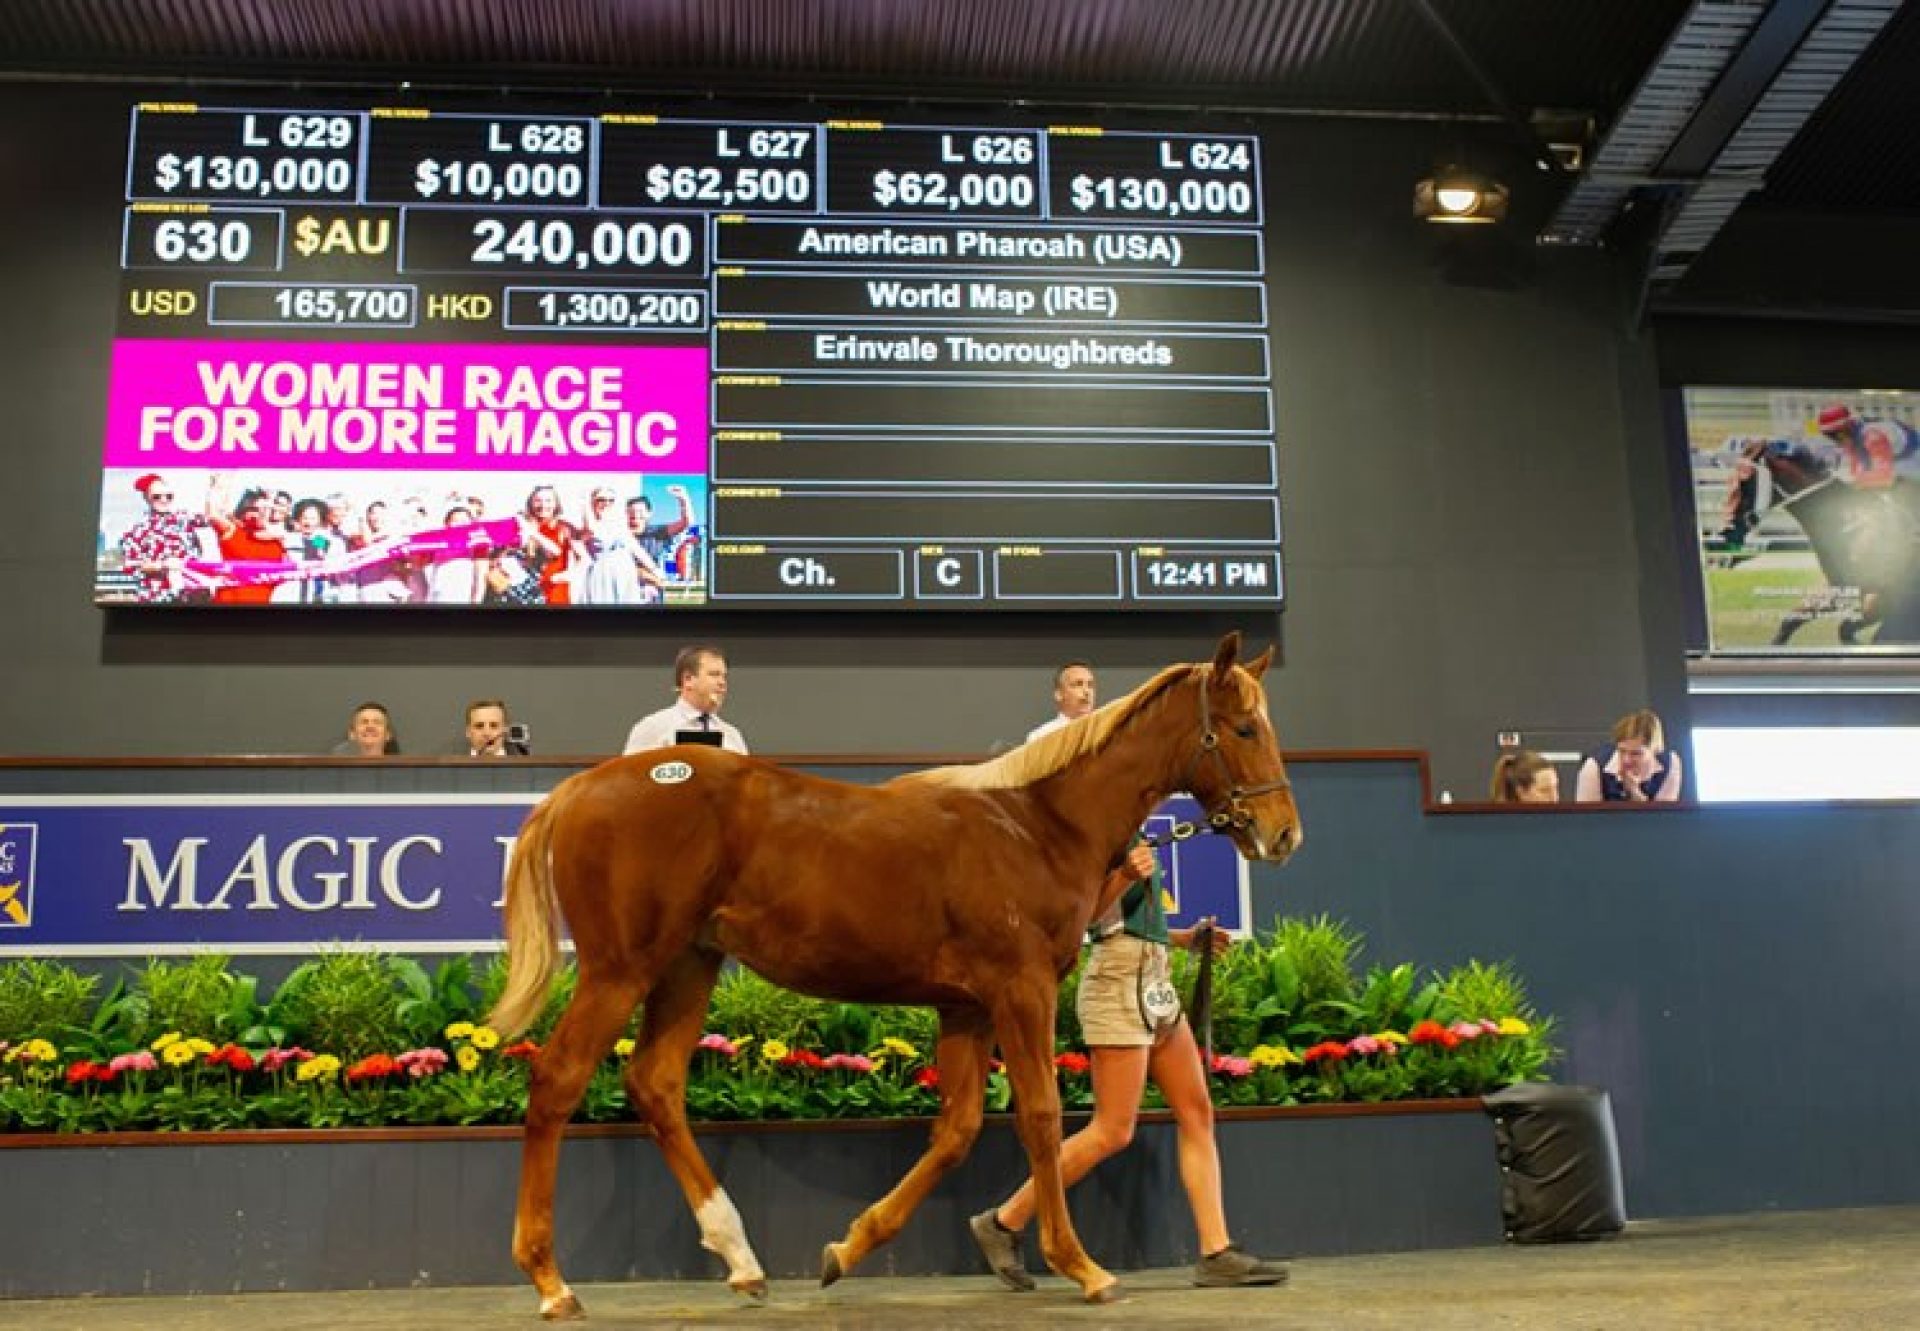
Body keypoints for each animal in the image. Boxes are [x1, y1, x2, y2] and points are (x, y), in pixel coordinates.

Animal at [491, 629, 1305, 1306]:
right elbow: (1041, 1116)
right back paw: (551, 1281)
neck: (1035, 825)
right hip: (619, 968)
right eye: (1244, 728)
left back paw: (741, 1258)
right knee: (557, 1078)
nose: (1283, 834)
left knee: (655, 1084)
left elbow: (958, 1129)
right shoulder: (1022, 990)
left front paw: (847, 1248)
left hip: (690, 964)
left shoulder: (967, 1006)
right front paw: (1080, 1264)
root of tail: (580, 786)